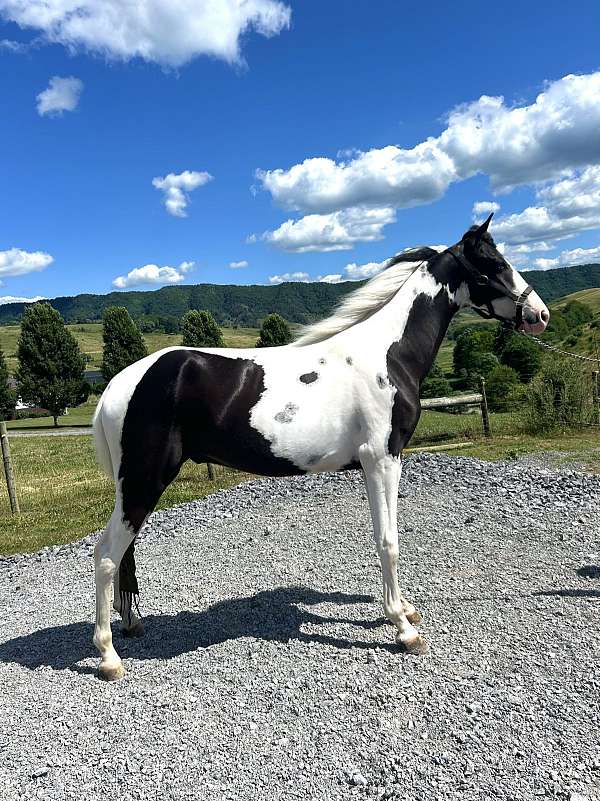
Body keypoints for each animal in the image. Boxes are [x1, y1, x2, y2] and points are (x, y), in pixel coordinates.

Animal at [92, 216, 548, 680]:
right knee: (107, 555)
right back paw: (109, 656)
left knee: (122, 555)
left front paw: (404, 609)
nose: (540, 314)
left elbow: (389, 536)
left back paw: (130, 626)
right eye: (493, 263)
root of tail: (117, 384)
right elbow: (388, 541)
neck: (388, 356)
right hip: (144, 482)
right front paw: (403, 629)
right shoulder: (381, 461)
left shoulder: (385, 462)